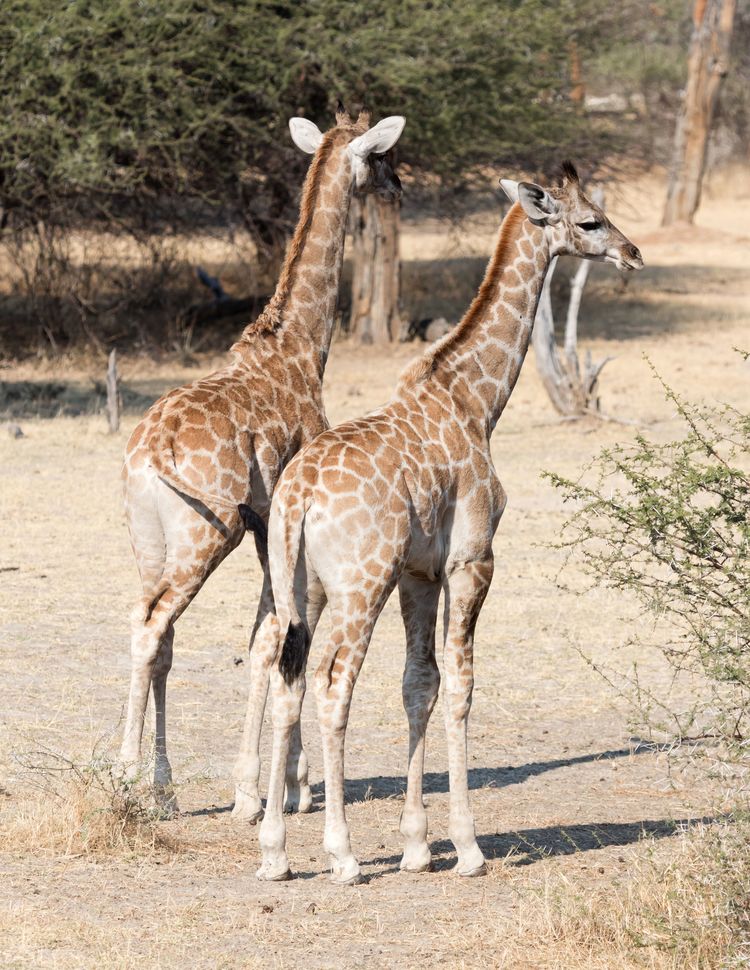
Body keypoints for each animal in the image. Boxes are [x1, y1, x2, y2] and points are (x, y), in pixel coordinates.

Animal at [119, 106, 406, 816]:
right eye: (382, 156)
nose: (399, 188)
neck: (302, 346)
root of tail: (151, 454)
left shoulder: (264, 526)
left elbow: (266, 633)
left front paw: (263, 785)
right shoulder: (271, 518)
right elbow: (275, 634)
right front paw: (277, 788)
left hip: (149, 537)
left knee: (154, 630)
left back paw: (160, 784)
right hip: (205, 533)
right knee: (154, 626)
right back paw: (126, 775)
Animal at [256, 163, 644, 880]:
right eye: (591, 220)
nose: (633, 253)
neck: (478, 399)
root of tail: (298, 497)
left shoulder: (420, 572)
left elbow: (419, 686)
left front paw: (416, 845)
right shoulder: (472, 561)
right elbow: (461, 687)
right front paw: (466, 846)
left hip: (304, 588)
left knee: (286, 681)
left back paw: (274, 852)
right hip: (360, 586)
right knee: (332, 686)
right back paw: (342, 853)